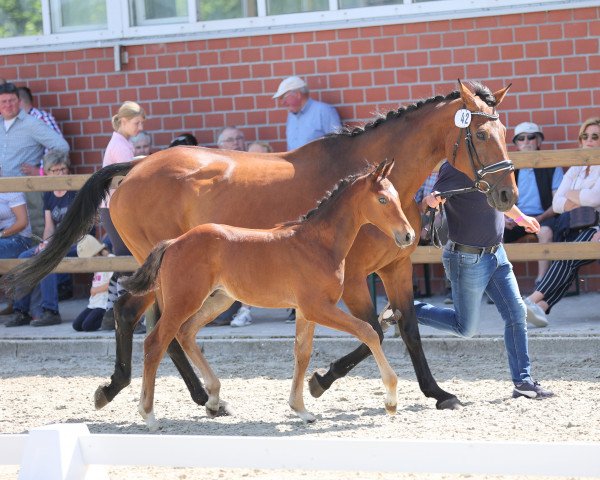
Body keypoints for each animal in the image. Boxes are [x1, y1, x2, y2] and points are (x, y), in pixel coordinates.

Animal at [122, 160, 412, 432]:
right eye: (382, 199)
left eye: (397, 196)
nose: (408, 235)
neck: (318, 244)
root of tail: (173, 243)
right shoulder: (318, 307)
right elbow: (368, 331)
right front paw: (391, 400)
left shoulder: (305, 311)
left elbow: (302, 353)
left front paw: (301, 410)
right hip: (183, 301)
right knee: (155, 343)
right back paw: (149, 415)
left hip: (219, 299)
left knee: (185, 333)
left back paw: (214, 400)